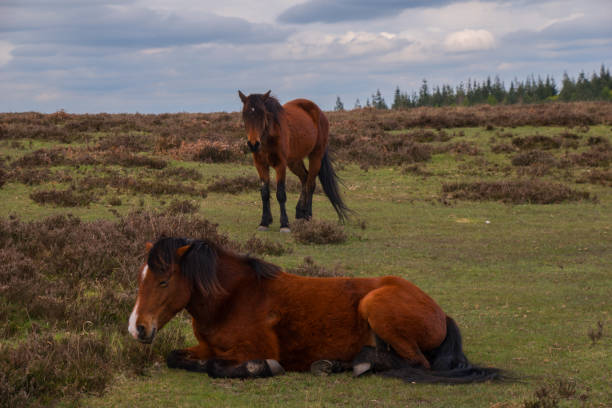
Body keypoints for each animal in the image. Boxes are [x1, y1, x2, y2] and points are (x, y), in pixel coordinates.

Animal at [128, 236, 502, 382]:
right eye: (141, 276)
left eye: (164, 282)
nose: (138, 328)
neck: (232, 299)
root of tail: (440, 312)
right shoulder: (204, 346)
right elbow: (176, 357)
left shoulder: (251, 349)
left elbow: (218, 367)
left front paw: (259, 368)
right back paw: (335, 364)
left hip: (375, 304)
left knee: (415, 363)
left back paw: (358, 363)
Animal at [238, 91, 346, 231]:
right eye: (245, 115)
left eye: (262, 114)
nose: (253, 144)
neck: (269, 138)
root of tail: (319, 113)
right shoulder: (260, 165)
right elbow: (265, 193)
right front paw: (264, 221)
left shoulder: (280, 165)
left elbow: (281, 194)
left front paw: (284, 224)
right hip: (294, 161)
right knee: (305, 178)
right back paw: (300, 212)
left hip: (315, 156)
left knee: (310, 184)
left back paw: (308, 215)